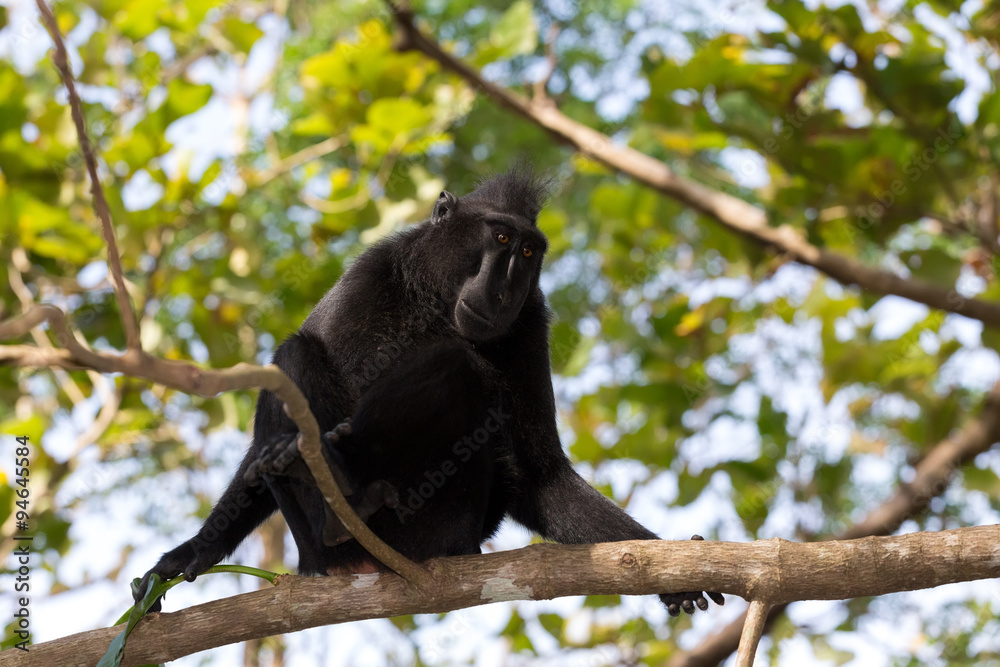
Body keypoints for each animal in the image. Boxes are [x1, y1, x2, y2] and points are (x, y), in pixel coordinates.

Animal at [137, 164, 723, 616]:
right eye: (502, 239)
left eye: (529, 253)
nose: (504, 289)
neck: (438, 306)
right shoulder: (370, 272)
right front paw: (191, 552)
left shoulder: (531, 320)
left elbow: (541, 475)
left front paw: (671, 569)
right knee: (297, 352)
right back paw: (325, 492)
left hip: (445, 528)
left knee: (455, 368)